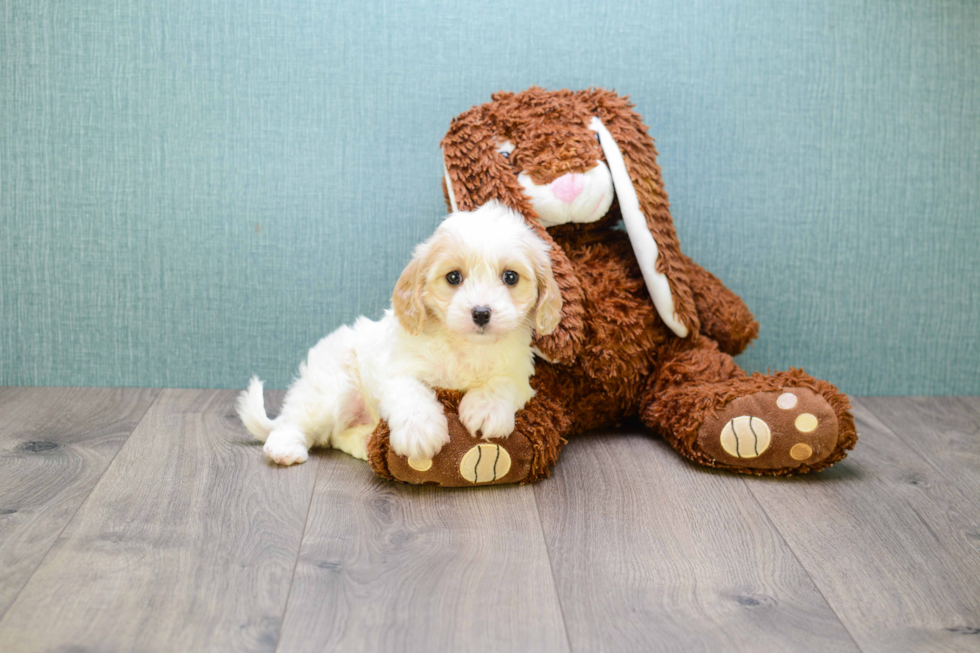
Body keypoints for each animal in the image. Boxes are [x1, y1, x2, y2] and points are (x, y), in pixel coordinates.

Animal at [234, 201, 564, 466]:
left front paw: (486, 409)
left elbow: (502, 382)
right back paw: (285, 448)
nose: (481, 313)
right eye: (453, 277)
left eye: (510, 277)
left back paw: (364, 444)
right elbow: (411, 391)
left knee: (338, 435)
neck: (466, 346)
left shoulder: (521, 373)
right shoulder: (397, 368)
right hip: (331, 390)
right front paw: (420, 432)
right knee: (296, 421)